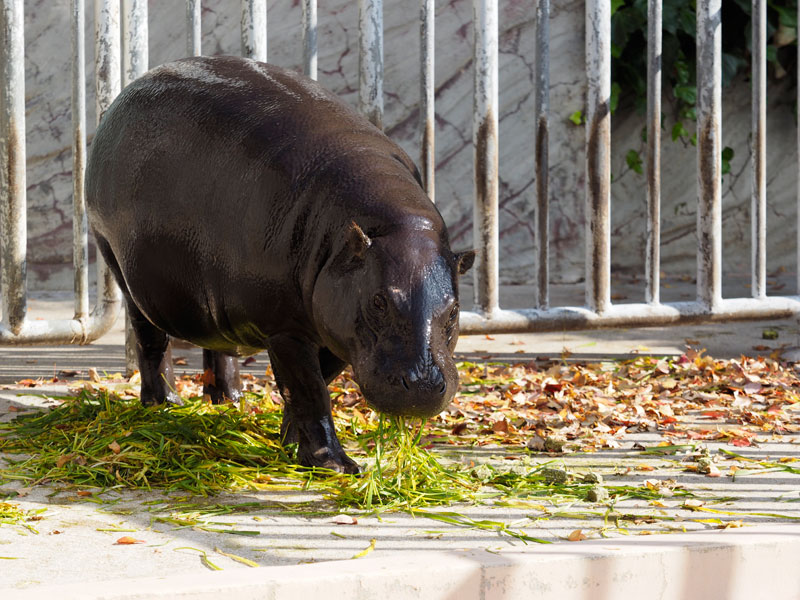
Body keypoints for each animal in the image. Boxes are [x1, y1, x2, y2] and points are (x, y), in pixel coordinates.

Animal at [86, 56, 476, 474]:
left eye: (455, 310)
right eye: (378, 302)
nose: (422, 386)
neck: (388, 226)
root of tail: (127, 94)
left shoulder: (334, 327)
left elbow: (314, 385)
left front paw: (289, 442)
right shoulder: (287, 328)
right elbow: (309, 391)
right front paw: (336, 466)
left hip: (212, 294)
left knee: (219, 345)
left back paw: (229, 400)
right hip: (118, 264)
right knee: (150, 340)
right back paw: (165, 405)